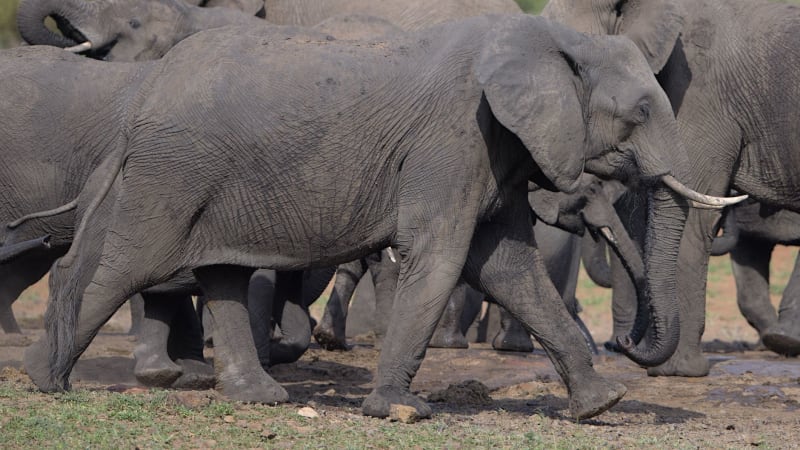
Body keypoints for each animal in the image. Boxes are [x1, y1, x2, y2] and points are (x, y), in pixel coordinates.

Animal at [19, 16, 743, 420]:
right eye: (641, 113)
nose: (629, 348)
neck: (554, 38)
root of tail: (139, 99)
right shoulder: (454, 137)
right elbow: (442, 258)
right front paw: (401, 411)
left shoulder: (492, 148)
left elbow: (508, 267)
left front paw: (603, 406)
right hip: (172, 171)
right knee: (129, 266)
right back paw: (45, 380)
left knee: (221, 271)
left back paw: (260, 400)